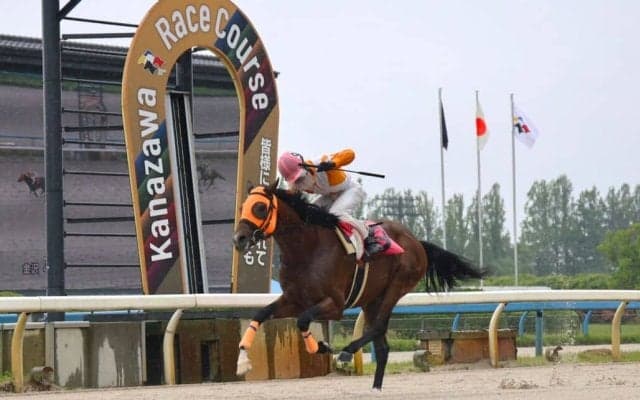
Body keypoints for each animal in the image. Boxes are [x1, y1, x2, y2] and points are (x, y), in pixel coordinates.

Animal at [231, 182, 486, 390]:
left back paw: (346, 352)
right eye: (243, 206)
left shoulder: (335, 305)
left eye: (260, 208)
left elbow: (302, 320)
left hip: (397, 286)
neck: (306, 249)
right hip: (372, 299)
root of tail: (417, 241)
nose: (239, 239)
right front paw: (242, 361)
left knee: (378, 327)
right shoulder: (294, 300)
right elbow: (261, 313)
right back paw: (375, 389)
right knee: (382, 345)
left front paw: (322, 347)